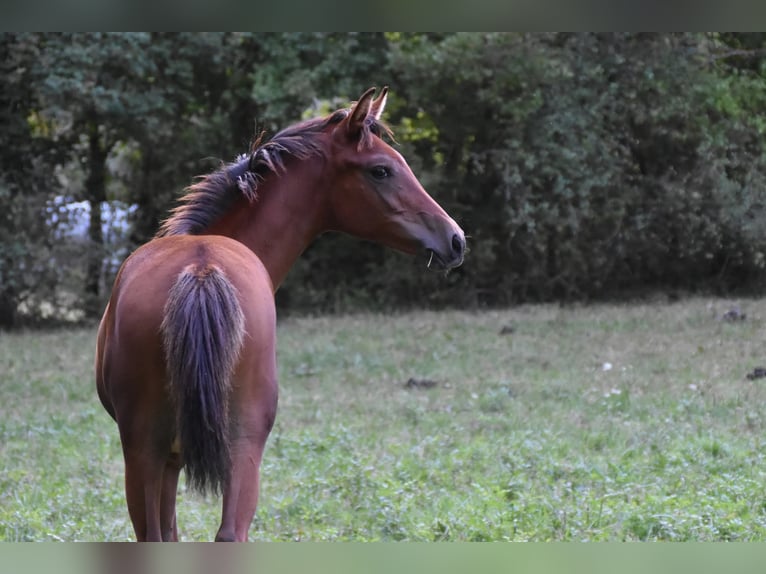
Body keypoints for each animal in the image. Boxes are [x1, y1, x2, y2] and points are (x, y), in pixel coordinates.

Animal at [95, 87, 466, 542]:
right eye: (381, 170)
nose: (455, 239)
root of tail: (201, 268)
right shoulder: (170, 457)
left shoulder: (169, 458)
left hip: (173, 449)